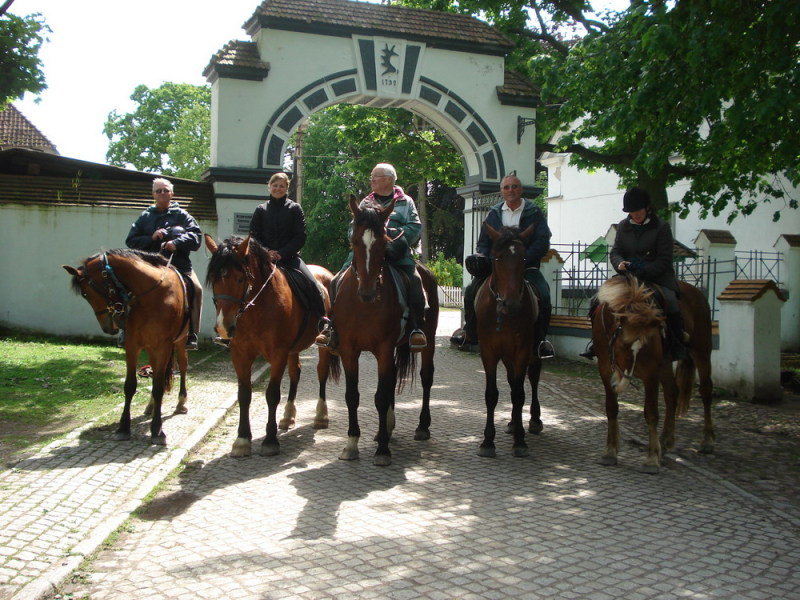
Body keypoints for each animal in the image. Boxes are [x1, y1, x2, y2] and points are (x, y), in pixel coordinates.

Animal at [63, 248, 191, 446]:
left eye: (87, 293)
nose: (108, 327)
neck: (151, 297)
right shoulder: (132, 345)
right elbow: (130, 386)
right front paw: (123, 428)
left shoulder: (162, 346)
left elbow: (159, 387)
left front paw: (157, 430)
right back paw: (151, 405)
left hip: (180, 341)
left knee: (182, 367)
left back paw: (181, 402)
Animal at [203, 232, 338, 458]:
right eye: (214, 279)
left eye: (240, 278)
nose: (223, 327)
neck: (257, 308)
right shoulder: (240, 354)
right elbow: (244, 395)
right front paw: (242, 440)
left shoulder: (278, 354)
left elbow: (272, 394)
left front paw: (270, 440)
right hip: (293, 349)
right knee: (295, 373)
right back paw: (288, 417)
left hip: (322, 345)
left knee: (321, 372)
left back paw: (321, 416)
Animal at [334, 195, 440, 466]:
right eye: (354, 240)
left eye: (383, 242)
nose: (368, 291)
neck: (363, 305)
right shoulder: (349, 350)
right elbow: (352, 395)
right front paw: (352, 444)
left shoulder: (383, 348)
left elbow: (381, 397)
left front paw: (382, 449)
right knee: (392, 380)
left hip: (429, 340)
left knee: (426, 377)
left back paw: (422, 427)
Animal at [476, 223, 544, 458]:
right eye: (496, 258)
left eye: (523, 258)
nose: (511, 304)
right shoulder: (489, 352)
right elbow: (491, 394)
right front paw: (488, 441)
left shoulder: (522, 351)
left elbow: (519, 394)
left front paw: (520, 441)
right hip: (506, 357)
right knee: (512, 379)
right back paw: (514, 423)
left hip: (532, 354)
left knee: (532, 379)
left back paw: (534, 420)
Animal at [592, 276, 716, 474]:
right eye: (622, 345)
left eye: (646, 342)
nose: (621, 383)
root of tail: (696, 291)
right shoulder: (605, 369)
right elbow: (611, 408)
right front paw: (610, 452)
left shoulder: (651, 372)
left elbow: (650, 412)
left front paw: (651, 459)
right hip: (665, 364)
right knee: (672, 393)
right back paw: (665, 442)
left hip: (702, 352)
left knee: (705, 391)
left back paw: (707, 441)